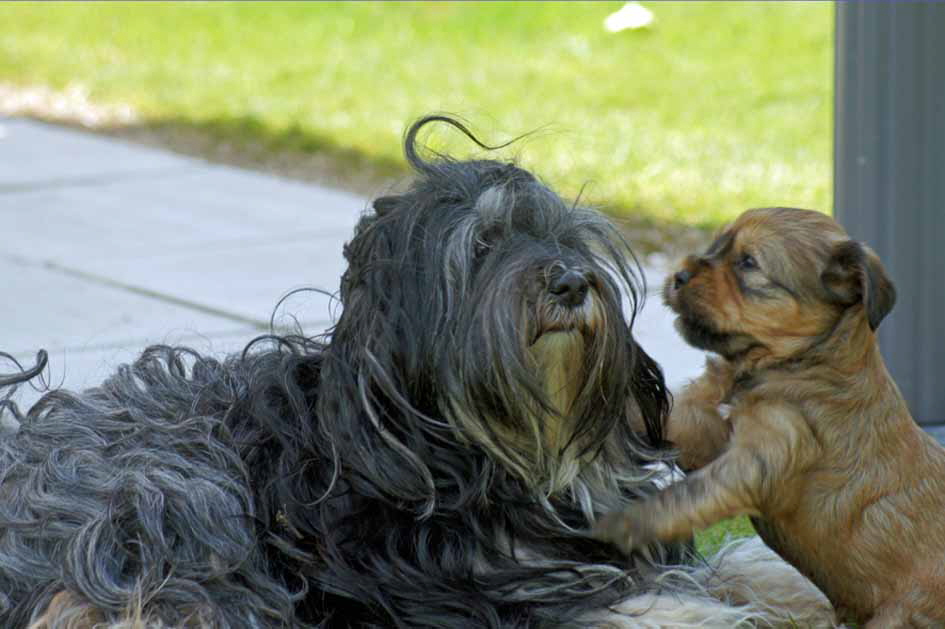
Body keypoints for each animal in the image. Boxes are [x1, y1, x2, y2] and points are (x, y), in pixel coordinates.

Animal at [0, 118, 828, 628]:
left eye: (566, 240)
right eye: (484, 246)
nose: (568, 281)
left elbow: (732, 564)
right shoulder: (456, 592)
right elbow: (622, 603)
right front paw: (699, 610)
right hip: (172, 490)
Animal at [596, 207, 944, 628]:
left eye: (748, 263)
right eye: (717, 246)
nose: (678, 276)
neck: (799, 360)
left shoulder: (768, 448)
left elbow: (687, 494)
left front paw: (624, 523)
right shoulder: (705, 424)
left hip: (903, 611)